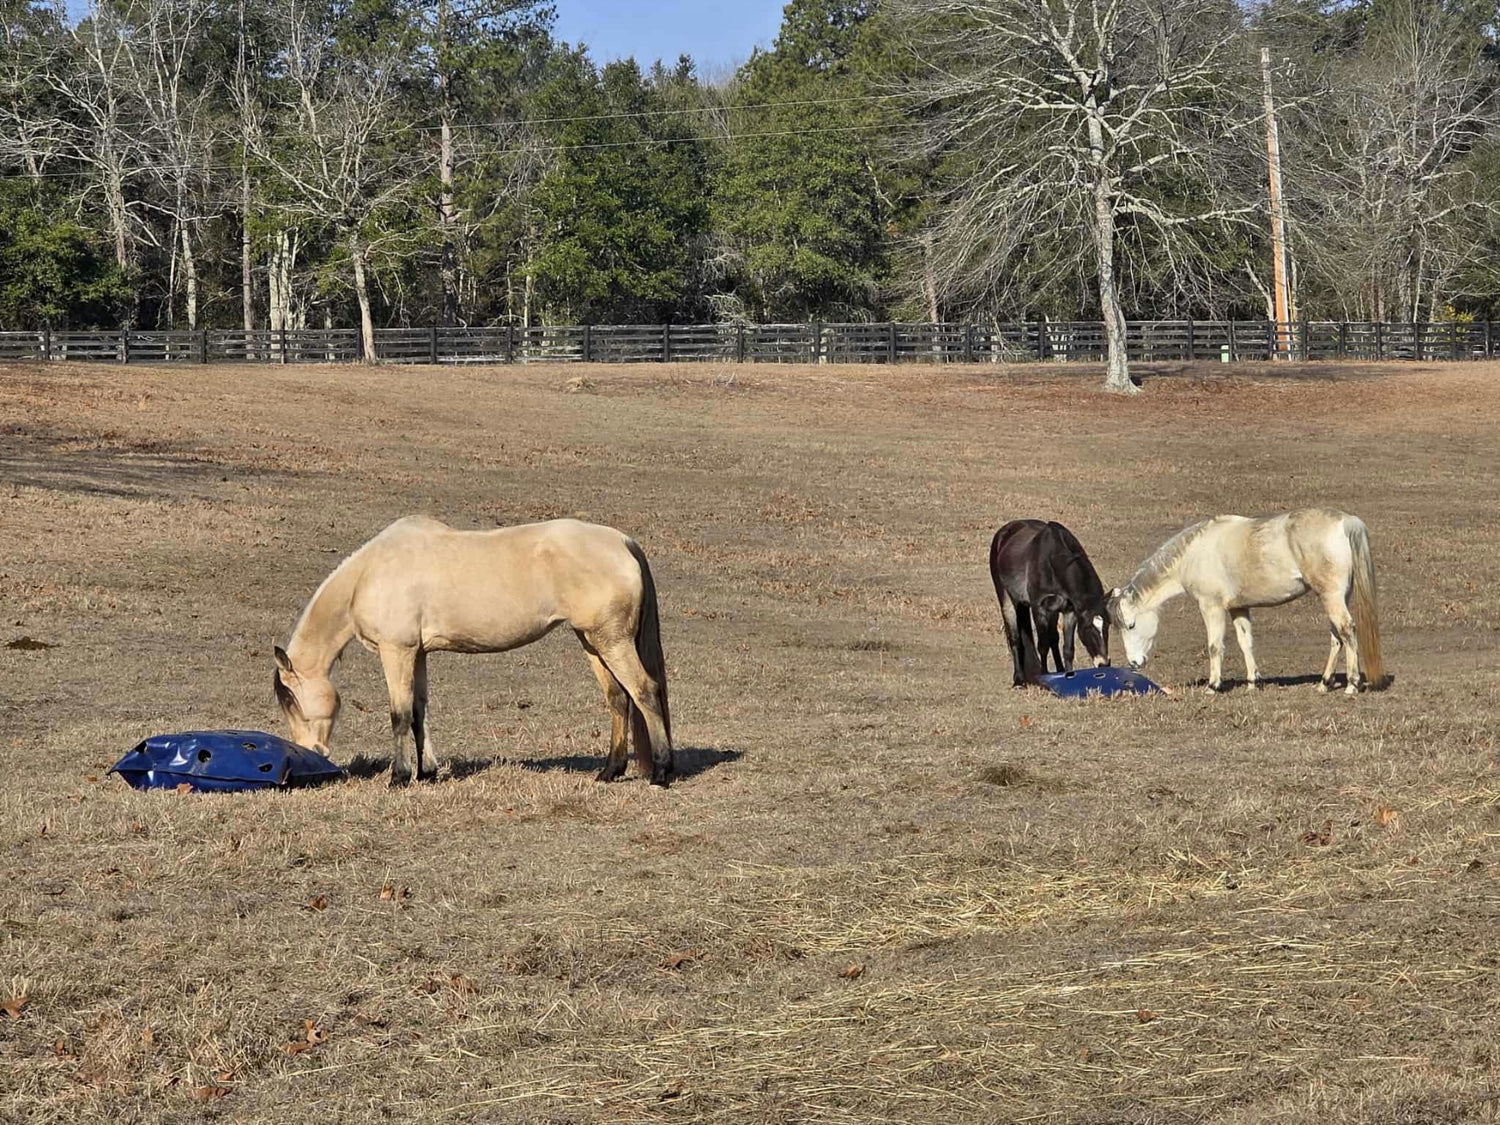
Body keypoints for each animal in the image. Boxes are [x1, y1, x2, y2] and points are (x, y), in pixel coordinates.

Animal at [272, 516, 675, 787]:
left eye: (290, 700)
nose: (309, 751)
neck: (369, 575)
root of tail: (623, 541)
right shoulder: (418, 654)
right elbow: (418, 712)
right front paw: (427, 773)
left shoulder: (396, 652)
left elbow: (399, 715)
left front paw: (400, 777)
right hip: (592, 641)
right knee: (618, 700)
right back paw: (610, 771)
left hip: (611, 641)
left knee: (644, 692)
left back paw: (661, 771)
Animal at [988, 519, 1111, 687]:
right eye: (1088, 628)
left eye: (1107, 626)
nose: (1104, 663)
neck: (1054, 561)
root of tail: (1003, 533)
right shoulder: (1039, 608)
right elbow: (1043, 645)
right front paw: (1043, 677)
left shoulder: (1069, 611)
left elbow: (1067, 649)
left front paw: (1069, 675)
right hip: (1007, 599)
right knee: (1016, 639)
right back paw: (1019, 680)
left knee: (1053, 638)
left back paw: (1059, 670)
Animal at [1107, 508, 1383, 695]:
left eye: (1131, 625)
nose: (1134, 663)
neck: (1194, 553)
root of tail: (1346, 521)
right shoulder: (1239, 608)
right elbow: (1245, 642)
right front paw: (1253, 682)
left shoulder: (1211, 607)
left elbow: (1214, 646)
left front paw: (1213, 685)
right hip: (1335, 597)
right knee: (1336, 637)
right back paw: (1324, 683)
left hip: (1332, 597)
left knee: (1347, 631)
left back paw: (1352, 684)